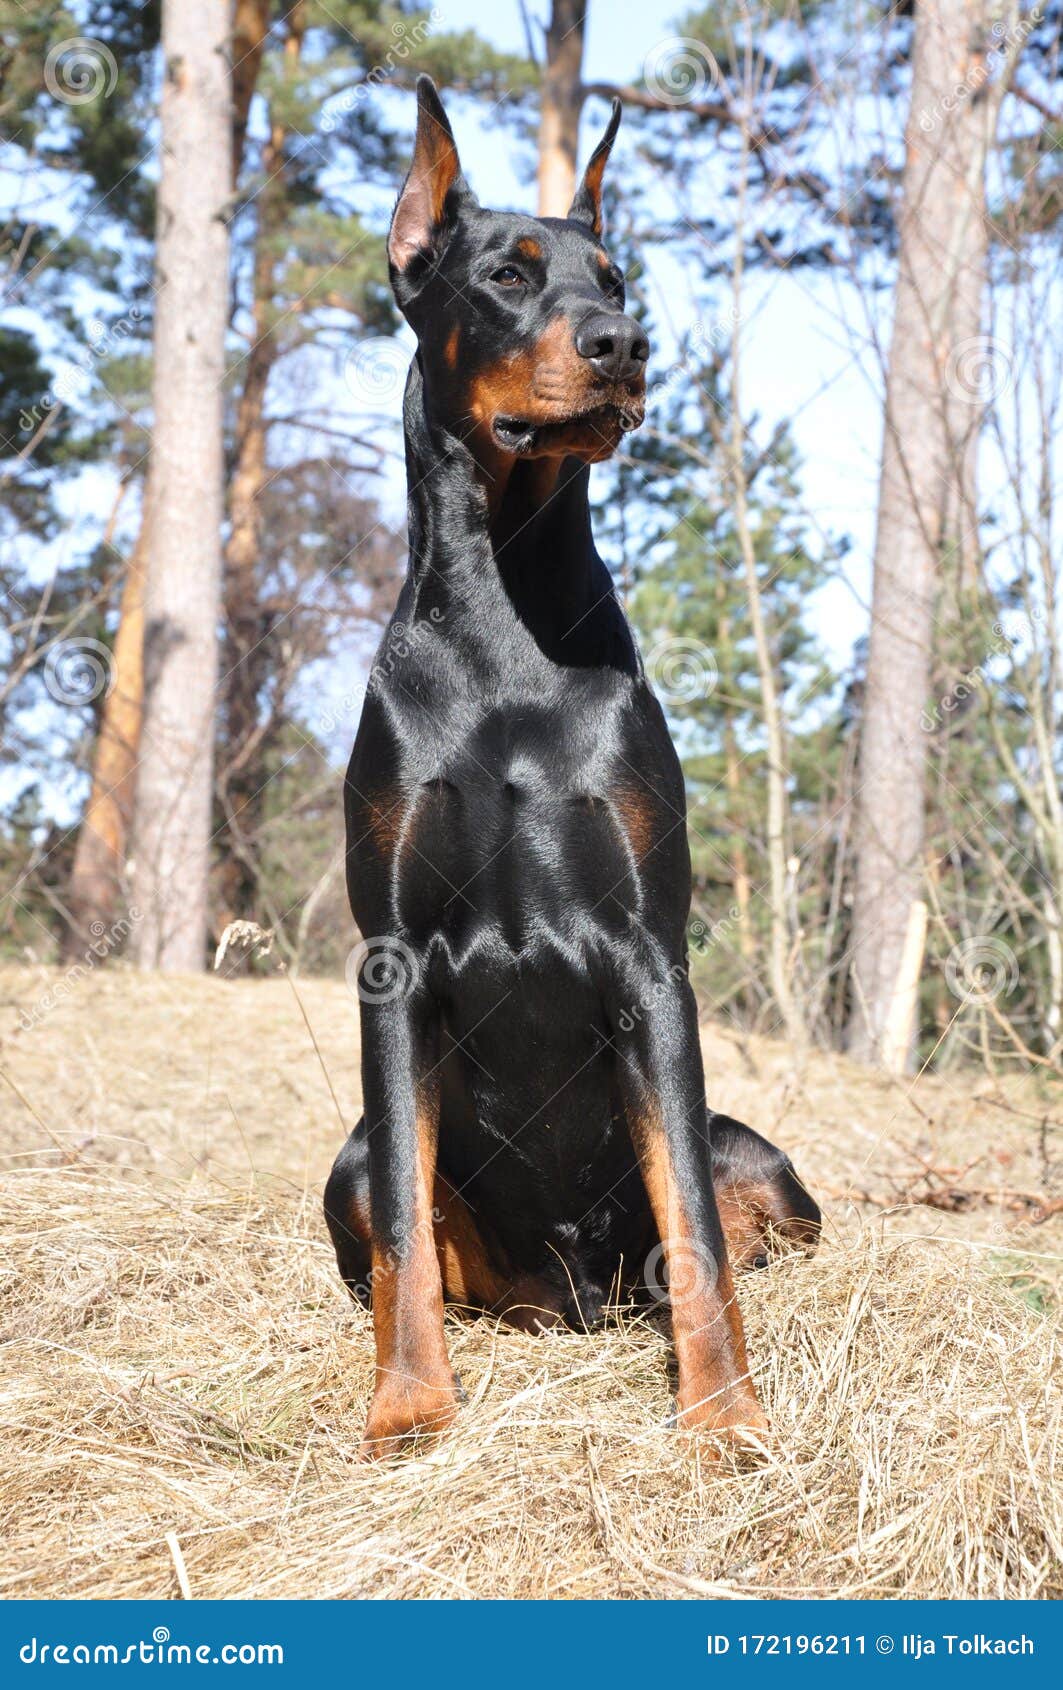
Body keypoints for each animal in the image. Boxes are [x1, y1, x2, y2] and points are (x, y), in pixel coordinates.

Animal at [322, 79, 821, 1460]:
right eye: (505, 273)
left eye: (618, 278)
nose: (625, 345)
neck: (509, 628)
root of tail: (575, 1295)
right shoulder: (390, 960)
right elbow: (404, 1229)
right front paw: (408, 1406)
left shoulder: (650, 957)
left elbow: (695, 1229)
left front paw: (723, 1418)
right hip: (346, 1162)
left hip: (755, 1149)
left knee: (735, 1211)